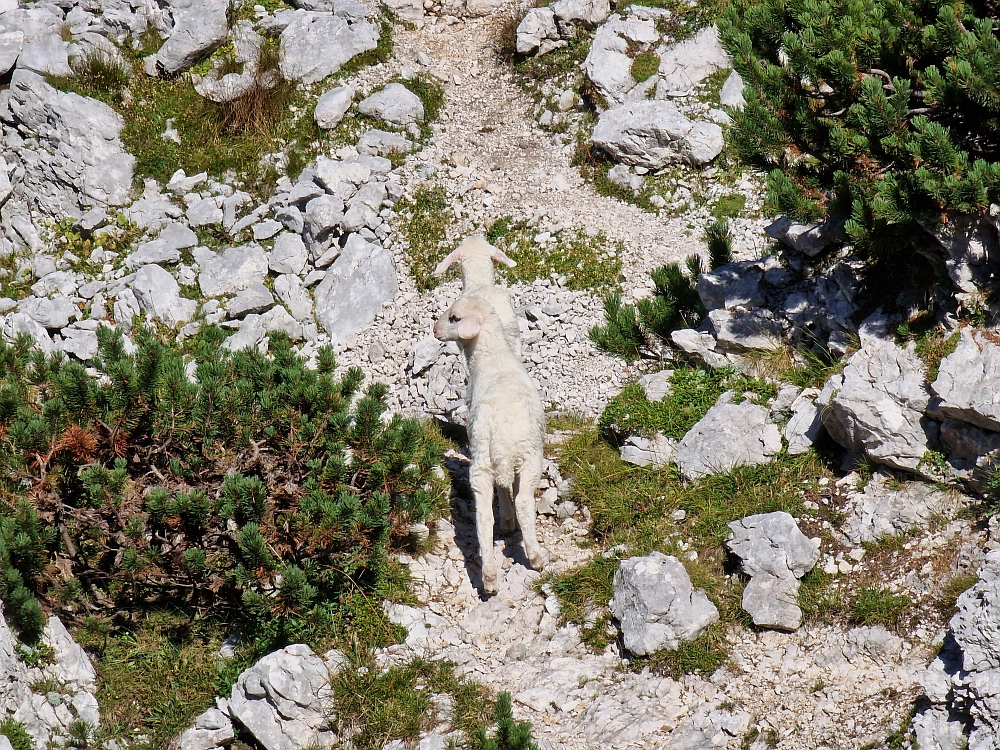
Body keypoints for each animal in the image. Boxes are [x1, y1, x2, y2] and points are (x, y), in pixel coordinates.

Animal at [432, 294, 548, 592]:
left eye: (454, 318)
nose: (435, 330)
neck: (491, 354)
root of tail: (502, 439)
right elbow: (509, 494)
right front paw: (509, 524)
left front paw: (507, 523)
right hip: (527, 458)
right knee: (520, 503)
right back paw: (535, 557)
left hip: (484, 462)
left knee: (485, 516)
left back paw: (490, 577)